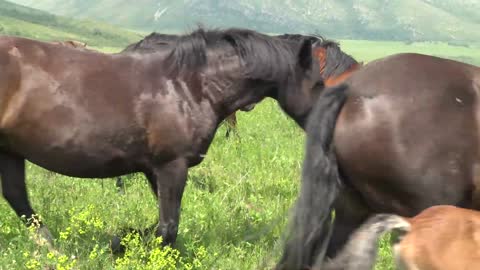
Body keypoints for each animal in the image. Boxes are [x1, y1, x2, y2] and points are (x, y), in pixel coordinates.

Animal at [0, 28, 324, 249]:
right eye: (320, 84)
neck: (190, 86)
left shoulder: (154, 169)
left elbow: (162, 223)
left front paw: (126, 239)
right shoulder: (172, 165)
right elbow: (168, 227)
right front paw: (125, 243)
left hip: (10, 150)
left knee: (18, 199)